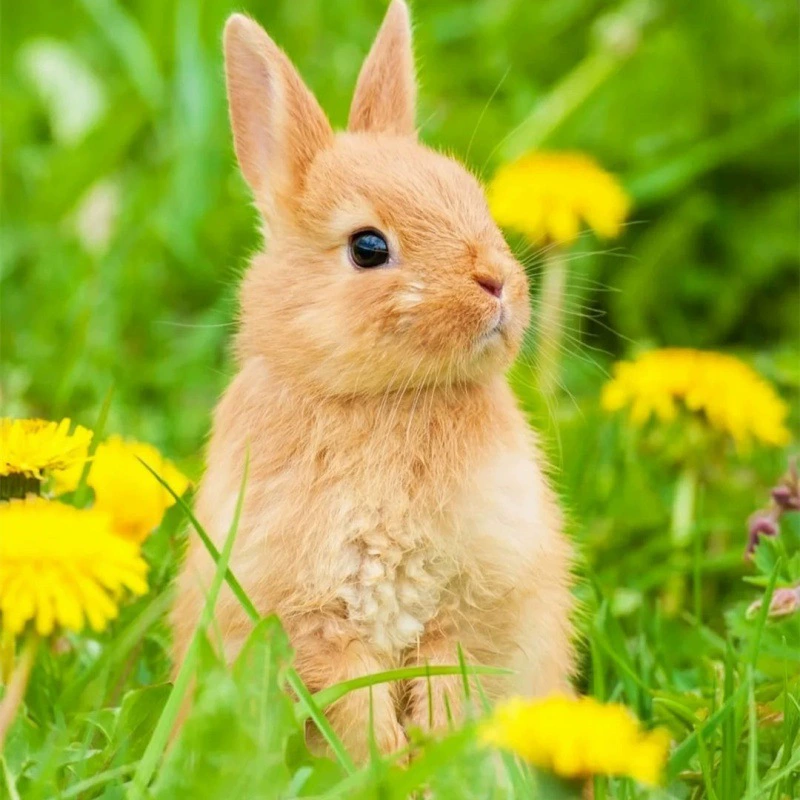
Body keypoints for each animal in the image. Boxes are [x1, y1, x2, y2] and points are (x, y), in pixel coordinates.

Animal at [173, 0, 575, 762]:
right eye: (368, 247)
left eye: (473, 200)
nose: (498, 283)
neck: (383, 401)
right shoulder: (315, 616)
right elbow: (353, 696)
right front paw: (383, 764)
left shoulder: (467, 602)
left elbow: (449, 676)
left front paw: (435, 755)